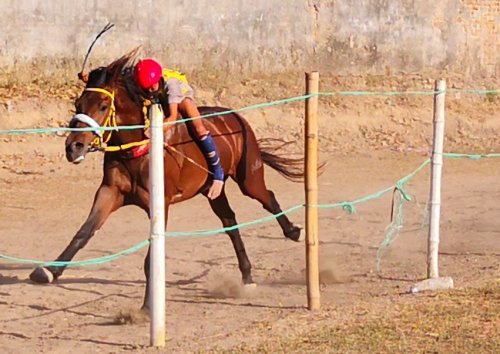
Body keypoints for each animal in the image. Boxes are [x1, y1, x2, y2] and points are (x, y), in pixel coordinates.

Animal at [29, 51, 302, 308]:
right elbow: (84, 232)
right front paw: (49, 271)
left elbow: (151, 258)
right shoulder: (110, 192)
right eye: (78, 103)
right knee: (229, 221)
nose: (73, 147)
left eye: (104, 105)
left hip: (249, 178)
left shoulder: (160, 202)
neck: (137, 150)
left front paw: (148, 306)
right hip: (213, 189)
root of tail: (236, 116)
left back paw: (293, 231)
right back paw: (247, 276)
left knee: (268, 198)